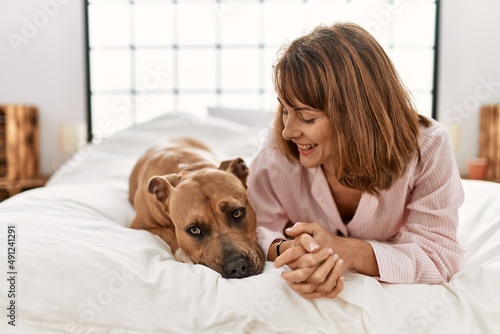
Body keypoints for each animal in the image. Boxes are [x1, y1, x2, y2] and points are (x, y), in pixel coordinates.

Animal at [129, 137, 266, 278]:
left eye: (237, 213)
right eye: (194, 230)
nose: (237, 266)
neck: (189, 169)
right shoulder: (140, 225)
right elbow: (168, 233)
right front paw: (183, 255)